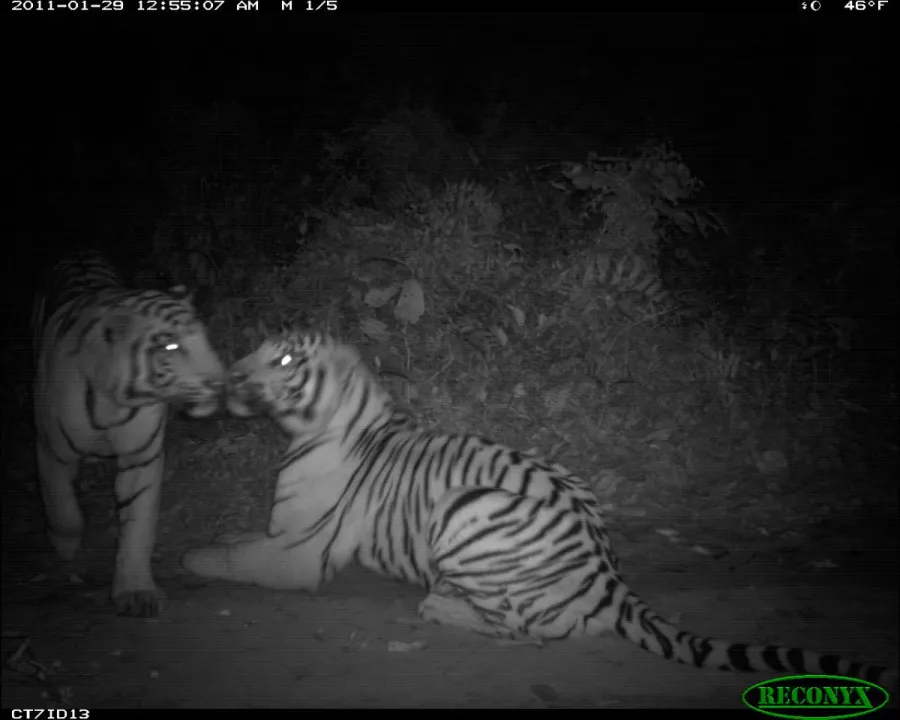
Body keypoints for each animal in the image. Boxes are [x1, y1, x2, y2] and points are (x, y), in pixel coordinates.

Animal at [32, 250, 227, 617]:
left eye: (205, 337)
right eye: (171, 346)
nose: (222, 381)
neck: (114, 405)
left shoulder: (141, 457)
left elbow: (139, 526)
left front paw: (136, 592)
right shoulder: (51, 451)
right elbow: (63, 509)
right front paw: (65, 547)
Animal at [182, 330, 896, 686]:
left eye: (282, 358)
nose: (228, 377)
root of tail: (610, 575)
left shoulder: (300, 555)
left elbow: (231, 555)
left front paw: (185, 560)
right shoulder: (279, 535)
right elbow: (238, 537)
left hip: (468, 509)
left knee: (527, 628)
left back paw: (439, 604)